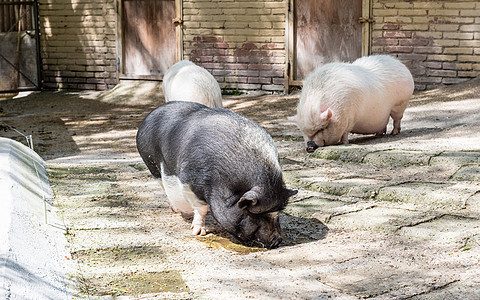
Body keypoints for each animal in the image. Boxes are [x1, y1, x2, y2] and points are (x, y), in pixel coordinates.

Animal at [135, 101, 296, 248]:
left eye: (277, 213)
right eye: (252, 214)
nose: (278, 240)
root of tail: (151, 114)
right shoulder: (189, 182)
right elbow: (201, 209)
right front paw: (198, 233)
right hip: (150, 162)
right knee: (162, 183)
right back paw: (175, 209)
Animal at [286, 54, 414, 152]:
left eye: (322, 128)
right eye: (303, 131)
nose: (309, 147)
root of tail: (401, 65)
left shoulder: (351, 118)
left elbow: (345, 133)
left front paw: (344, 143)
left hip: (400, 104)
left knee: (397, 119)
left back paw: (394, 133)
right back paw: (379, 134)